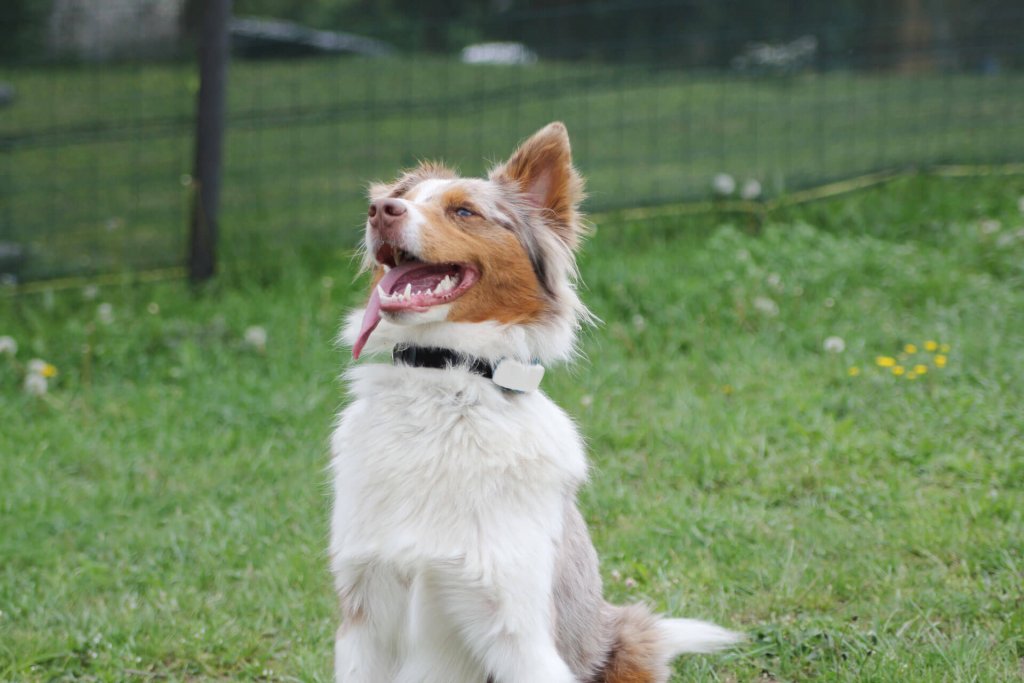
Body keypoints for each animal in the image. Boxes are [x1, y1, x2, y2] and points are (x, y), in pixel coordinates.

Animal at [327, 122, 737, 683]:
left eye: (464, 211)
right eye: (402, 199)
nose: (379, 210)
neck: (446, 383)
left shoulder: (515, 626)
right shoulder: (362, 613)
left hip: (624, 640)